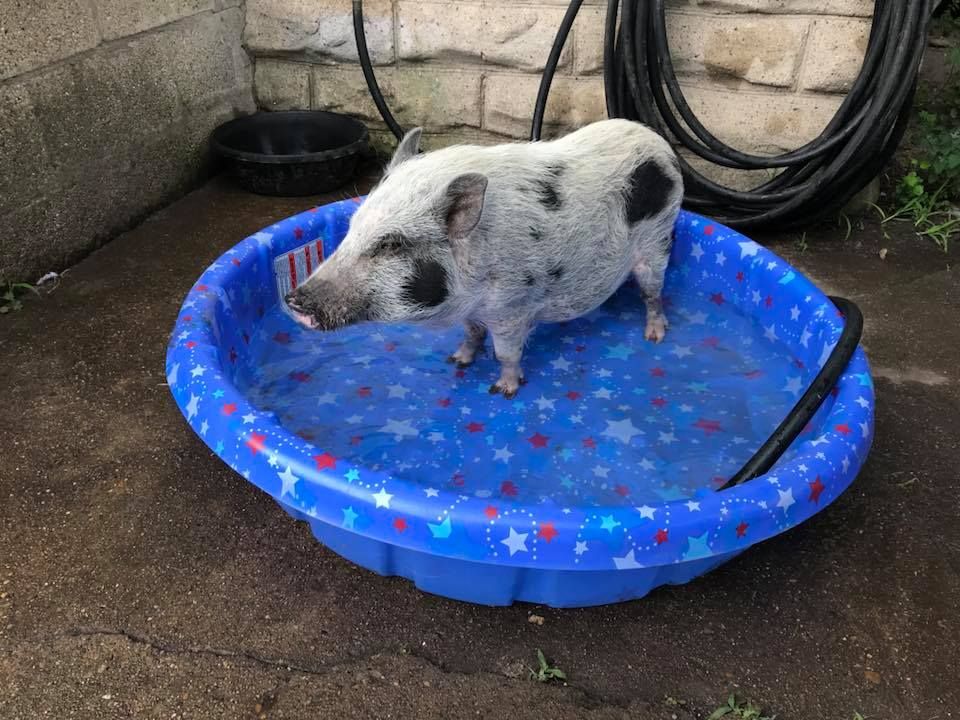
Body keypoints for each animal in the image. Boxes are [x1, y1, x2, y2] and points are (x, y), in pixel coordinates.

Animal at [284, 119, 684, 400]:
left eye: (391, 245)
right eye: (353, 227)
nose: (293, 299)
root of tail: (660, 144)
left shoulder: (512, 308)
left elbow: (506, 354)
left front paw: (502, 390)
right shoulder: (473, 310)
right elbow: (472, 334)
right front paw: (456, 360)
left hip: (658, 239)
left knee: (652, 293)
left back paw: (654, 337)